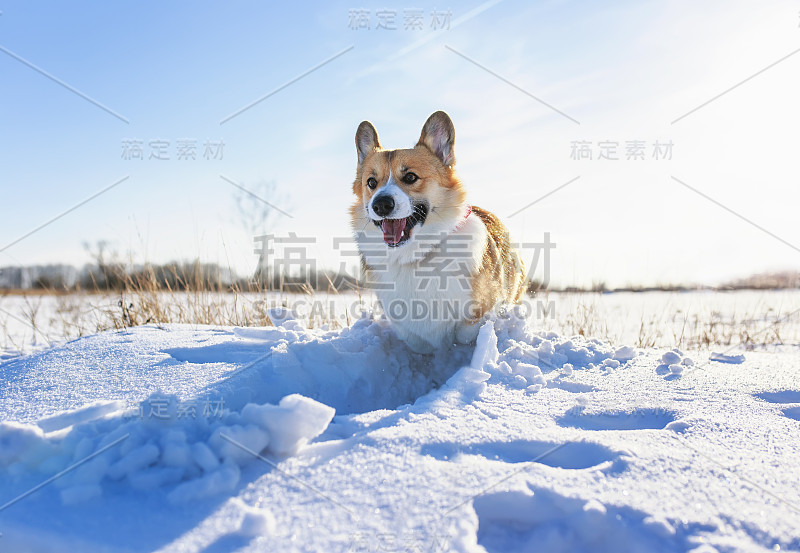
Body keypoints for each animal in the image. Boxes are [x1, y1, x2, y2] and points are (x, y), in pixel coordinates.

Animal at [348, 112, 524, 354]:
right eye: (371, 182)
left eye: (410, 177)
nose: (381, 205)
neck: (415, 255)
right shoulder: (408, 330)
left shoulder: (480, 312)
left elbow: (466, 333)